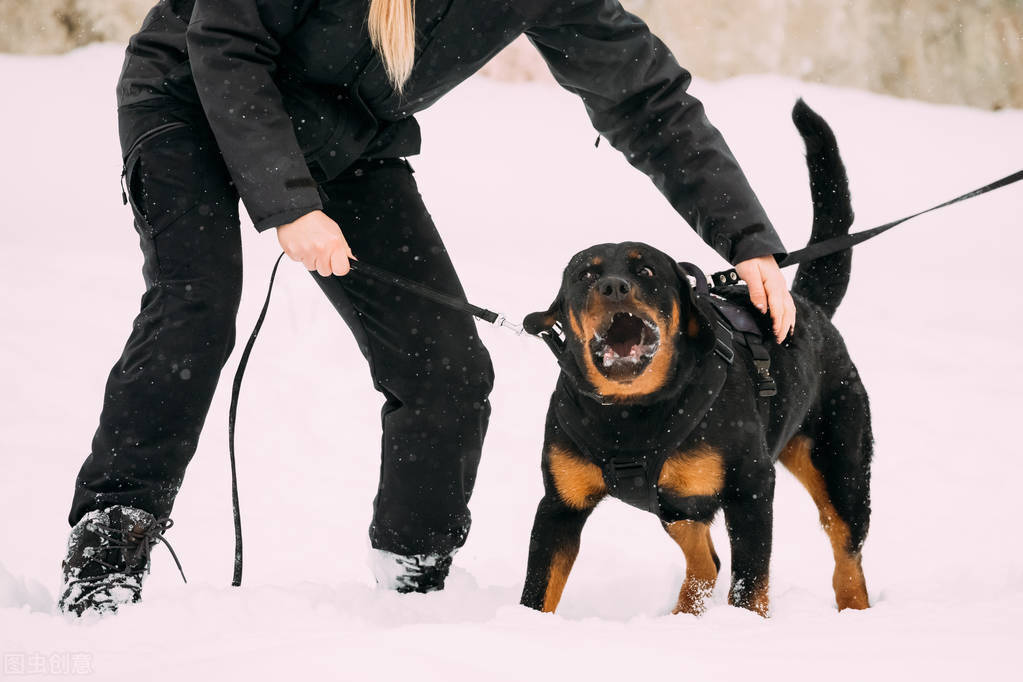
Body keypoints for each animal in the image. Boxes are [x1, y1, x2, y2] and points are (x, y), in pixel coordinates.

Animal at [519, 102, 871, 617]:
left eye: (646, 270)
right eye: (585, 275)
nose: (613, 287)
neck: (631, 415)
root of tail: (808, 307)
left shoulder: (751, 486)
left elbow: (751, 584)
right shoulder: (559, 503)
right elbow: (539, 589)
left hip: (839, 463)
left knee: (847, 554)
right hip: (680, 501)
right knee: (706, 561)